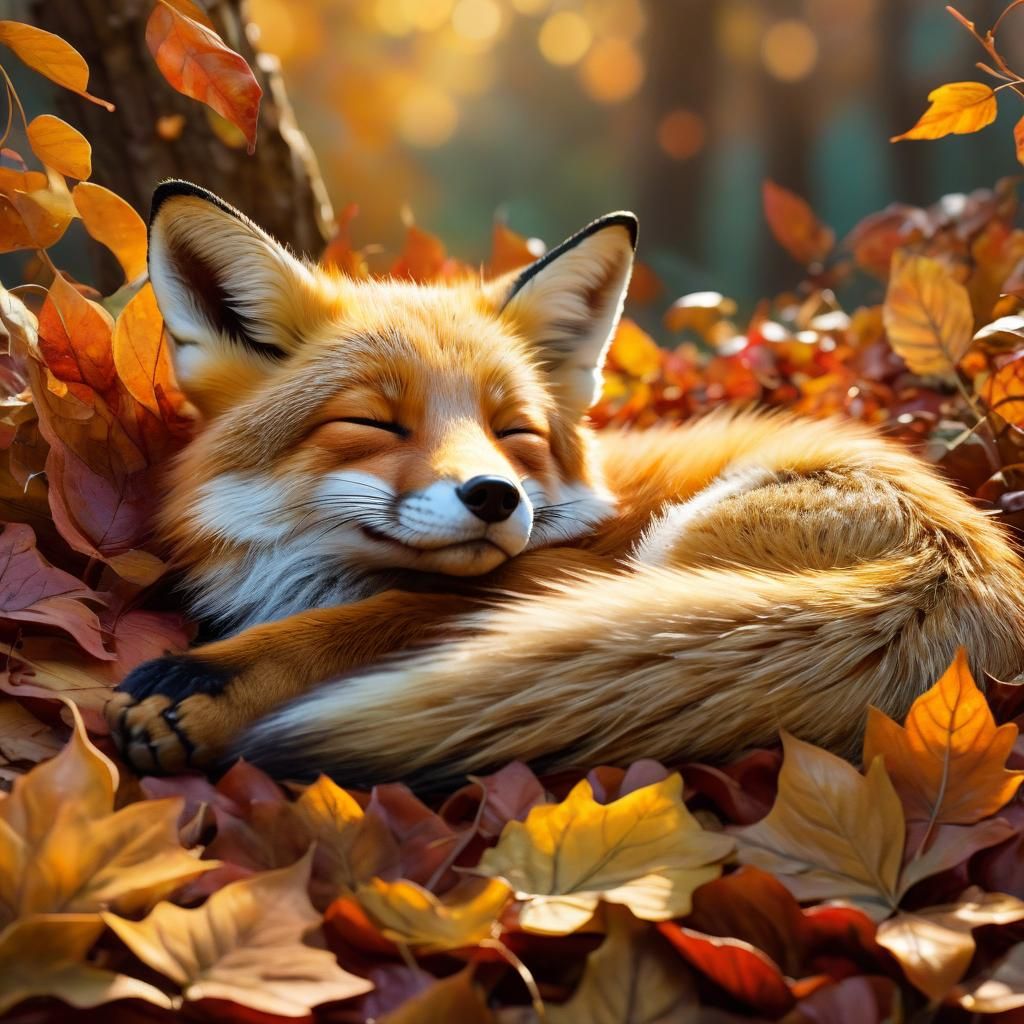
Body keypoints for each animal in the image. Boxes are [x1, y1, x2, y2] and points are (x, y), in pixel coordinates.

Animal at [106, 179, 1024, 790]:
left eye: (513, 432)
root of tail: (961, 563)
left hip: (671, 551)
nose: (494, 496)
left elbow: (377, 618)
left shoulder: (565, 570)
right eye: (374, 423)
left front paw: (211, 678)